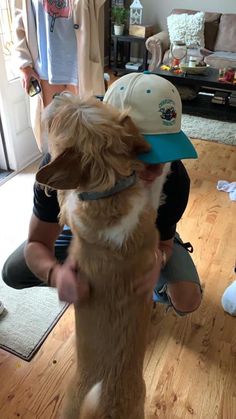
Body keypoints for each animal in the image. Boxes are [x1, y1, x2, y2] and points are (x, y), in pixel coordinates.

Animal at [36, 94, 163, 419]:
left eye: (57, 121)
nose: (57, 95)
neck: (111, 190)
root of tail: (107, 406)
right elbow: (152, 192)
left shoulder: (72, 207)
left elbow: (64, 198)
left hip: (70, 399)